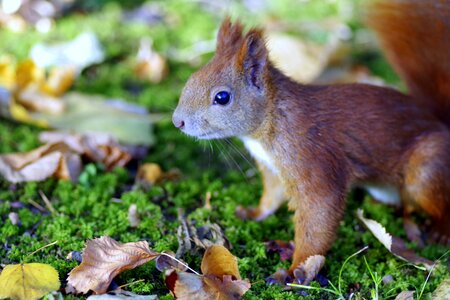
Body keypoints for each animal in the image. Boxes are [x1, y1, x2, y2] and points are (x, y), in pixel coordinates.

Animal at [171, 0, 450, 284]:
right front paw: (252, 213)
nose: (176, 122)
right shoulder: (272, 168)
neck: (271, 120)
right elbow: (271, 197)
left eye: (222, 97)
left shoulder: (312, 158)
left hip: (425, 170)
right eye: (191, 78)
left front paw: (295, 270)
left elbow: (318, 214)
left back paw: (440, 231)